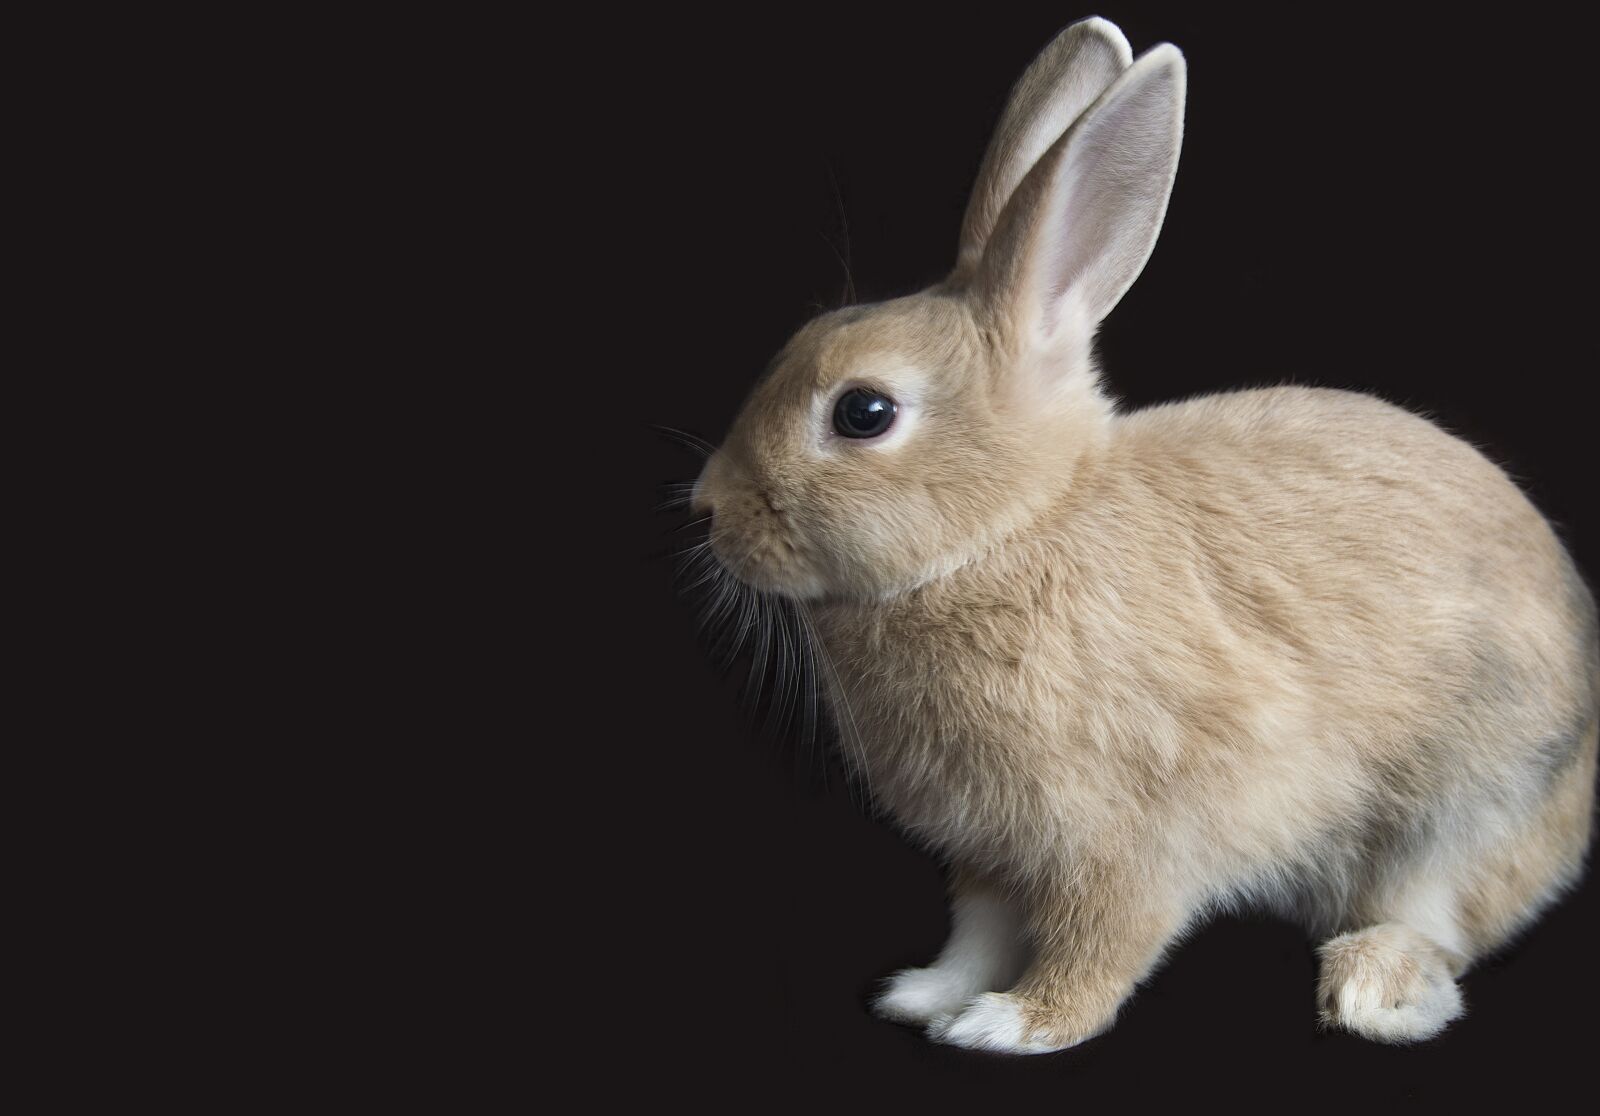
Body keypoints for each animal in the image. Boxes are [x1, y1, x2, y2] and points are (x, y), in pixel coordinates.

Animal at [686, 16, 1598, 1053]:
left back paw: (1374, 989)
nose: (706, 509)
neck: (1010, 529)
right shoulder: (992, 853)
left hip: (1462, 813)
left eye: (863, 413)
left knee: (1438, 923)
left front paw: (1010, 1024)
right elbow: (978, 931)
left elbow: (1102, 942)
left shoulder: (1131, 837)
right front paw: (926, 995)